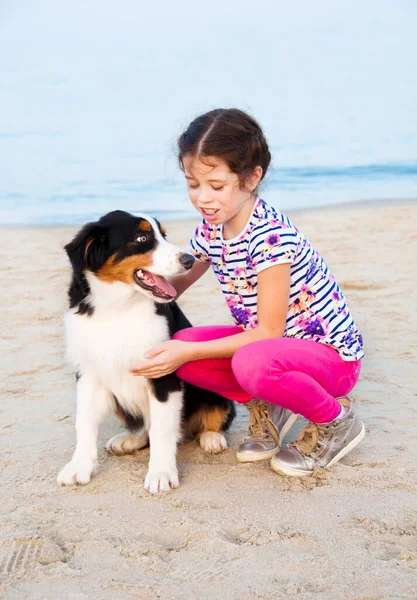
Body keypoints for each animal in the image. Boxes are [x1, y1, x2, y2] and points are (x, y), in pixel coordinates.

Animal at [57, 210, 234, 492]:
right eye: (142, 238)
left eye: (164, 235)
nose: (189, 259)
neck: (117, 309)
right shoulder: (88, 373)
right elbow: (83, 422)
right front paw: (79, 467)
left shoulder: (163, 372)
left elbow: (162, 430)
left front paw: (161, 473)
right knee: (143, 427)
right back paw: (128, 440)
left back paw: (212, 438)